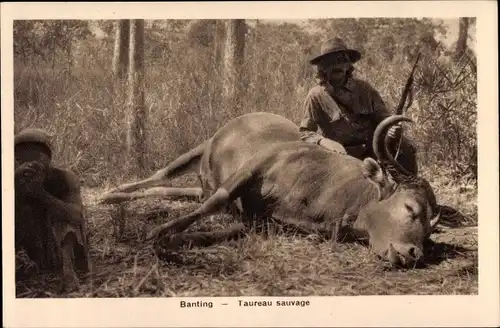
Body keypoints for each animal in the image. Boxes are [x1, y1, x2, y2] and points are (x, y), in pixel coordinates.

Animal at [101, 111, 442, 268]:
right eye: (410, 208)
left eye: (429, 229)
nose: (414, 254)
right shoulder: (252, 169)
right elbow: (214, 203)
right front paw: (160, 230)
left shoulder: (263, 222)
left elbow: (220, 231)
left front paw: (177, 240)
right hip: (199, 151)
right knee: (163, 176)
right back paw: (111, 194)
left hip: (201, 185)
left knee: (179, 192)